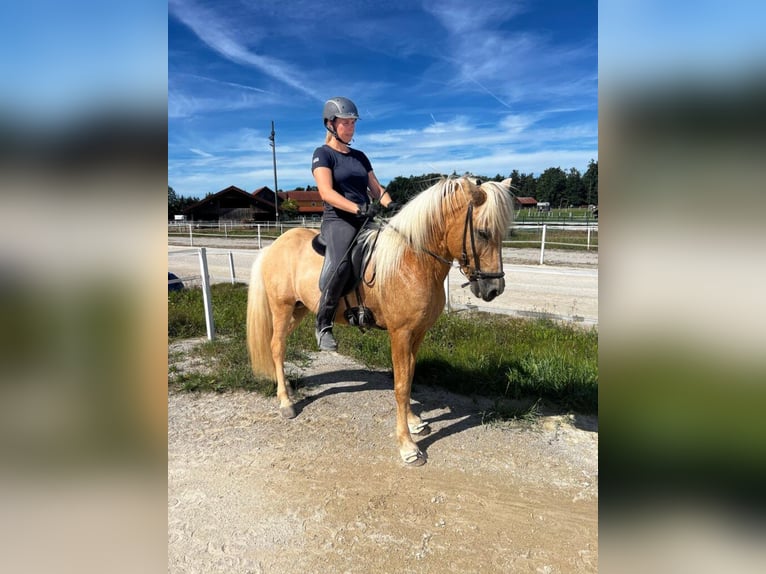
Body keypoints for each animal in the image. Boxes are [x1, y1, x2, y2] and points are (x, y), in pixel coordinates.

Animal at [246, 176, 514, 466]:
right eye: (482, 232)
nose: (494, 289)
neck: (414, 261)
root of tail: (273, 246)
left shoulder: (418, 333)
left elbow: (409, 376)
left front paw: (414, 422)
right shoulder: (400, 333)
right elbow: (400, 385)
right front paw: (407, 446)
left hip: (299, 309)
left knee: (279, 347)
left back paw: (286, 390)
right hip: (282, 308)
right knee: (276, 347)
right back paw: (286, 402)